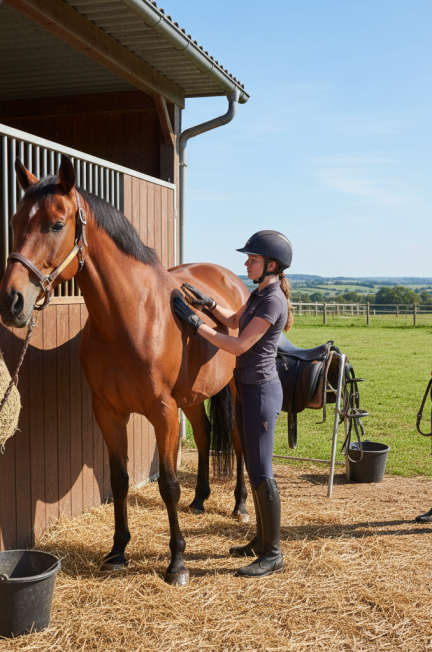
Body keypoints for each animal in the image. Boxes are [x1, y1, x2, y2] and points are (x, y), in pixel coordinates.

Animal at [0, 156, 251, 586]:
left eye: (56, 224)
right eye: (15, 221)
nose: (11, 301)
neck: (128, 319)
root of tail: (233, 280)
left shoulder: (162, 412)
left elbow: (168, 484)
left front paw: (177, 562)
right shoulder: (108, 412)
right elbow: (118, 480)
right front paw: (118, 551)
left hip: (232, 389)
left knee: (236, 442)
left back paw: (239, 505)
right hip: (190, 399)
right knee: (203, 436)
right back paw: (200, 499)